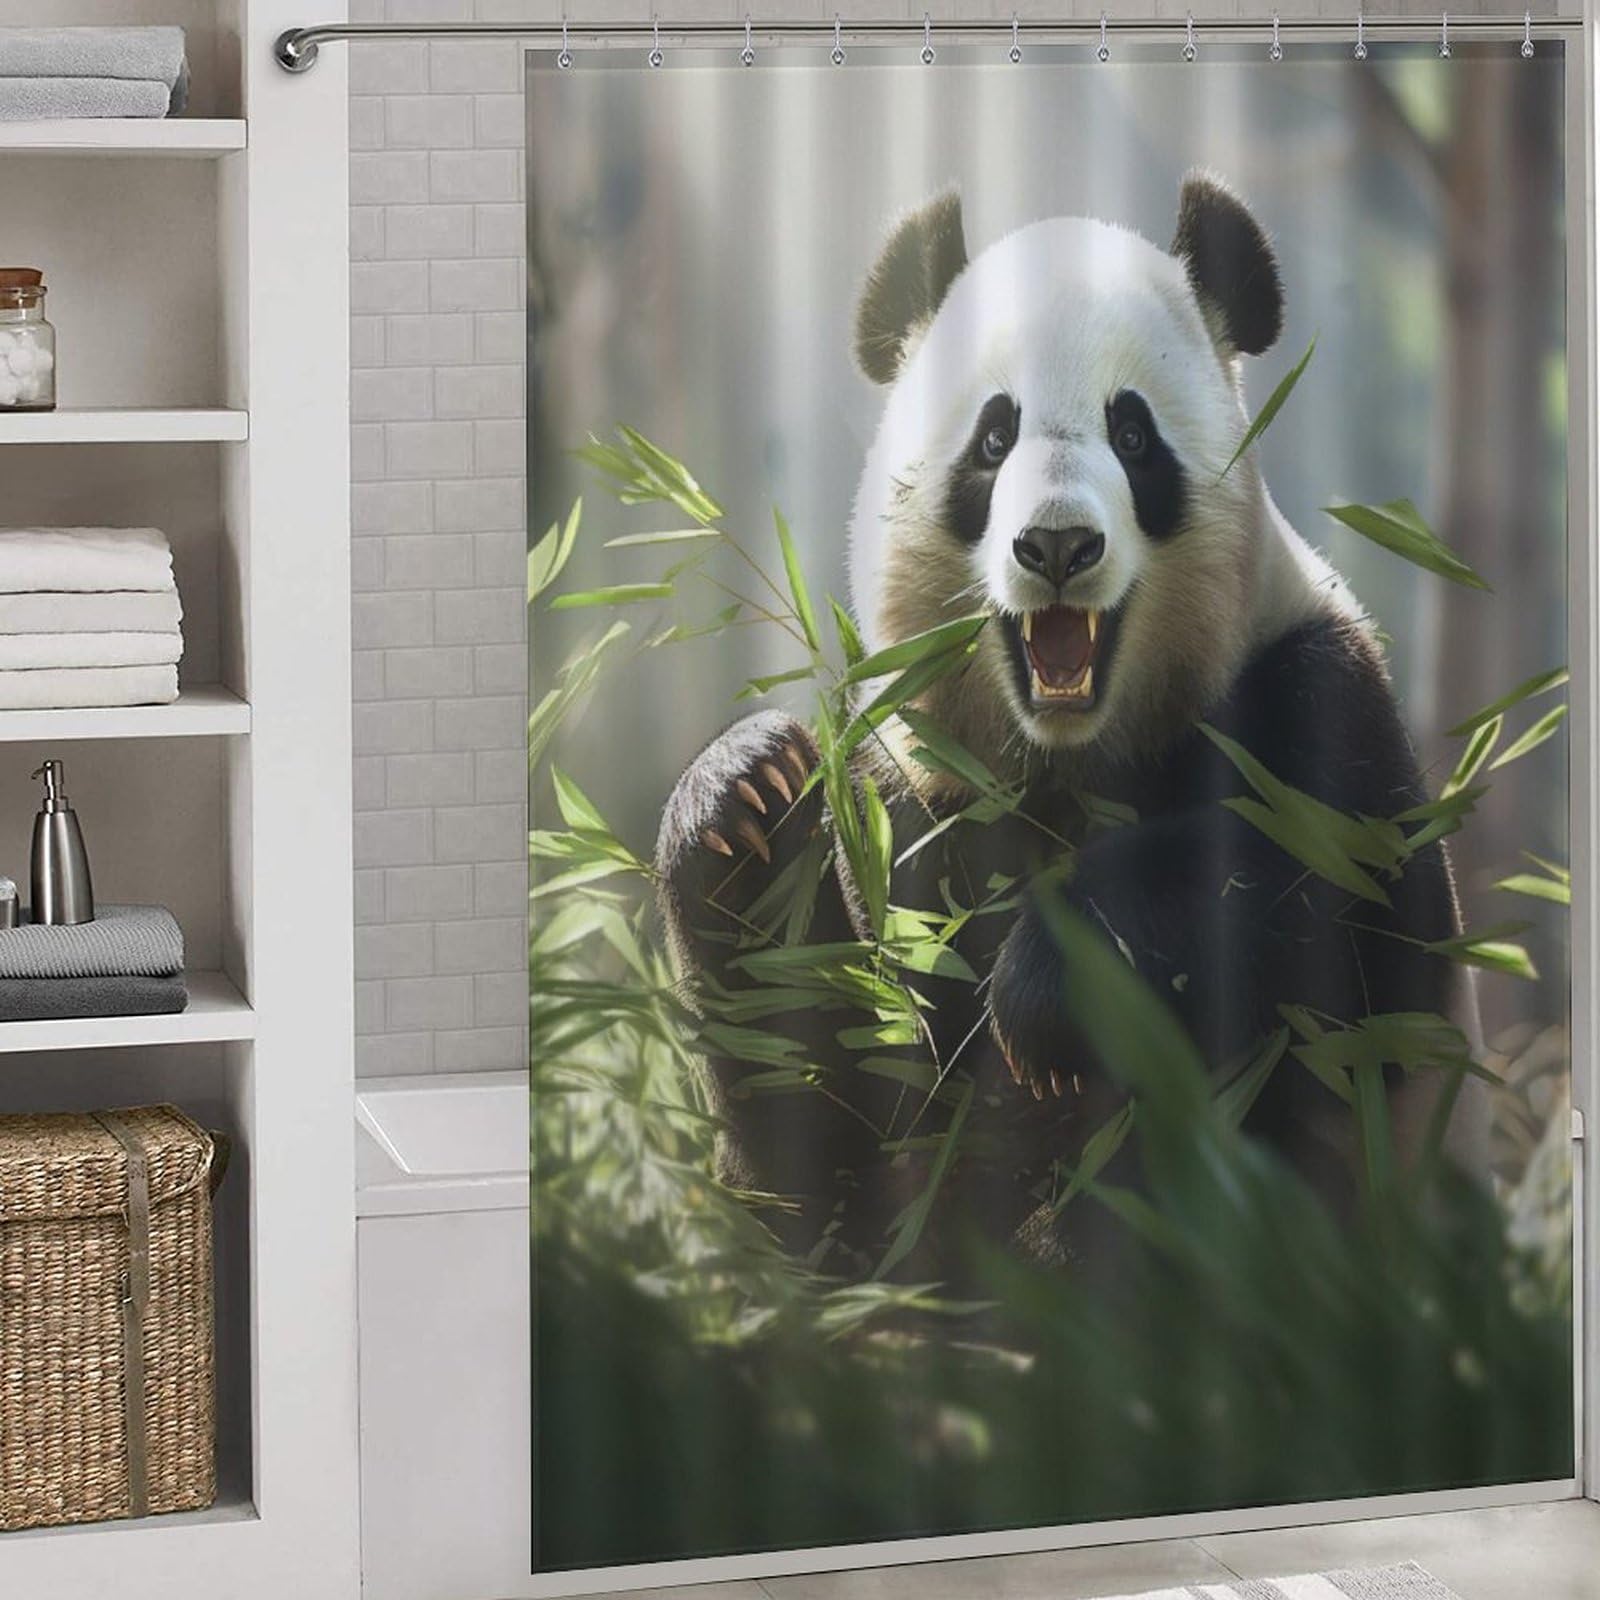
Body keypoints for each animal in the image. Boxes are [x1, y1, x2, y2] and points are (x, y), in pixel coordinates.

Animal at [656, 173, 1480, 1276]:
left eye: (1132, 435)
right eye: (993, 438)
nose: (1056, 544)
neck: (1062, 763)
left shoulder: (1312, 699)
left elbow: (1333, 919)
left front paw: (1051, 986)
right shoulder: (905, 785)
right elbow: (827, 1086)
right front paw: (744, 797)